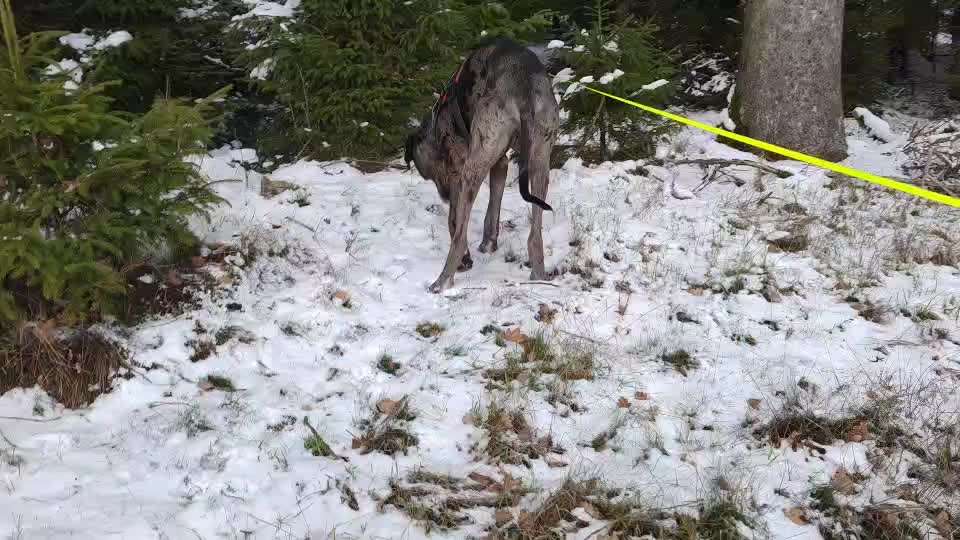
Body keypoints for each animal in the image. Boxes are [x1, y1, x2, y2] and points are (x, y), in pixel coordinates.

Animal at [404, 37, 560, 294]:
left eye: (427, 176)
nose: (443, 196)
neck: (437, 125)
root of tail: (523, 84)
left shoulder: (459, 172)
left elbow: (454, 220)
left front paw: (467, 258)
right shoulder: (500, 163)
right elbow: (493, 208)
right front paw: (489, 243)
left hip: (473, 170)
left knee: (458, 238)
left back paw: (442, 280)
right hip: (539, 160)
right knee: (535, 234)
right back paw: (538, 274)